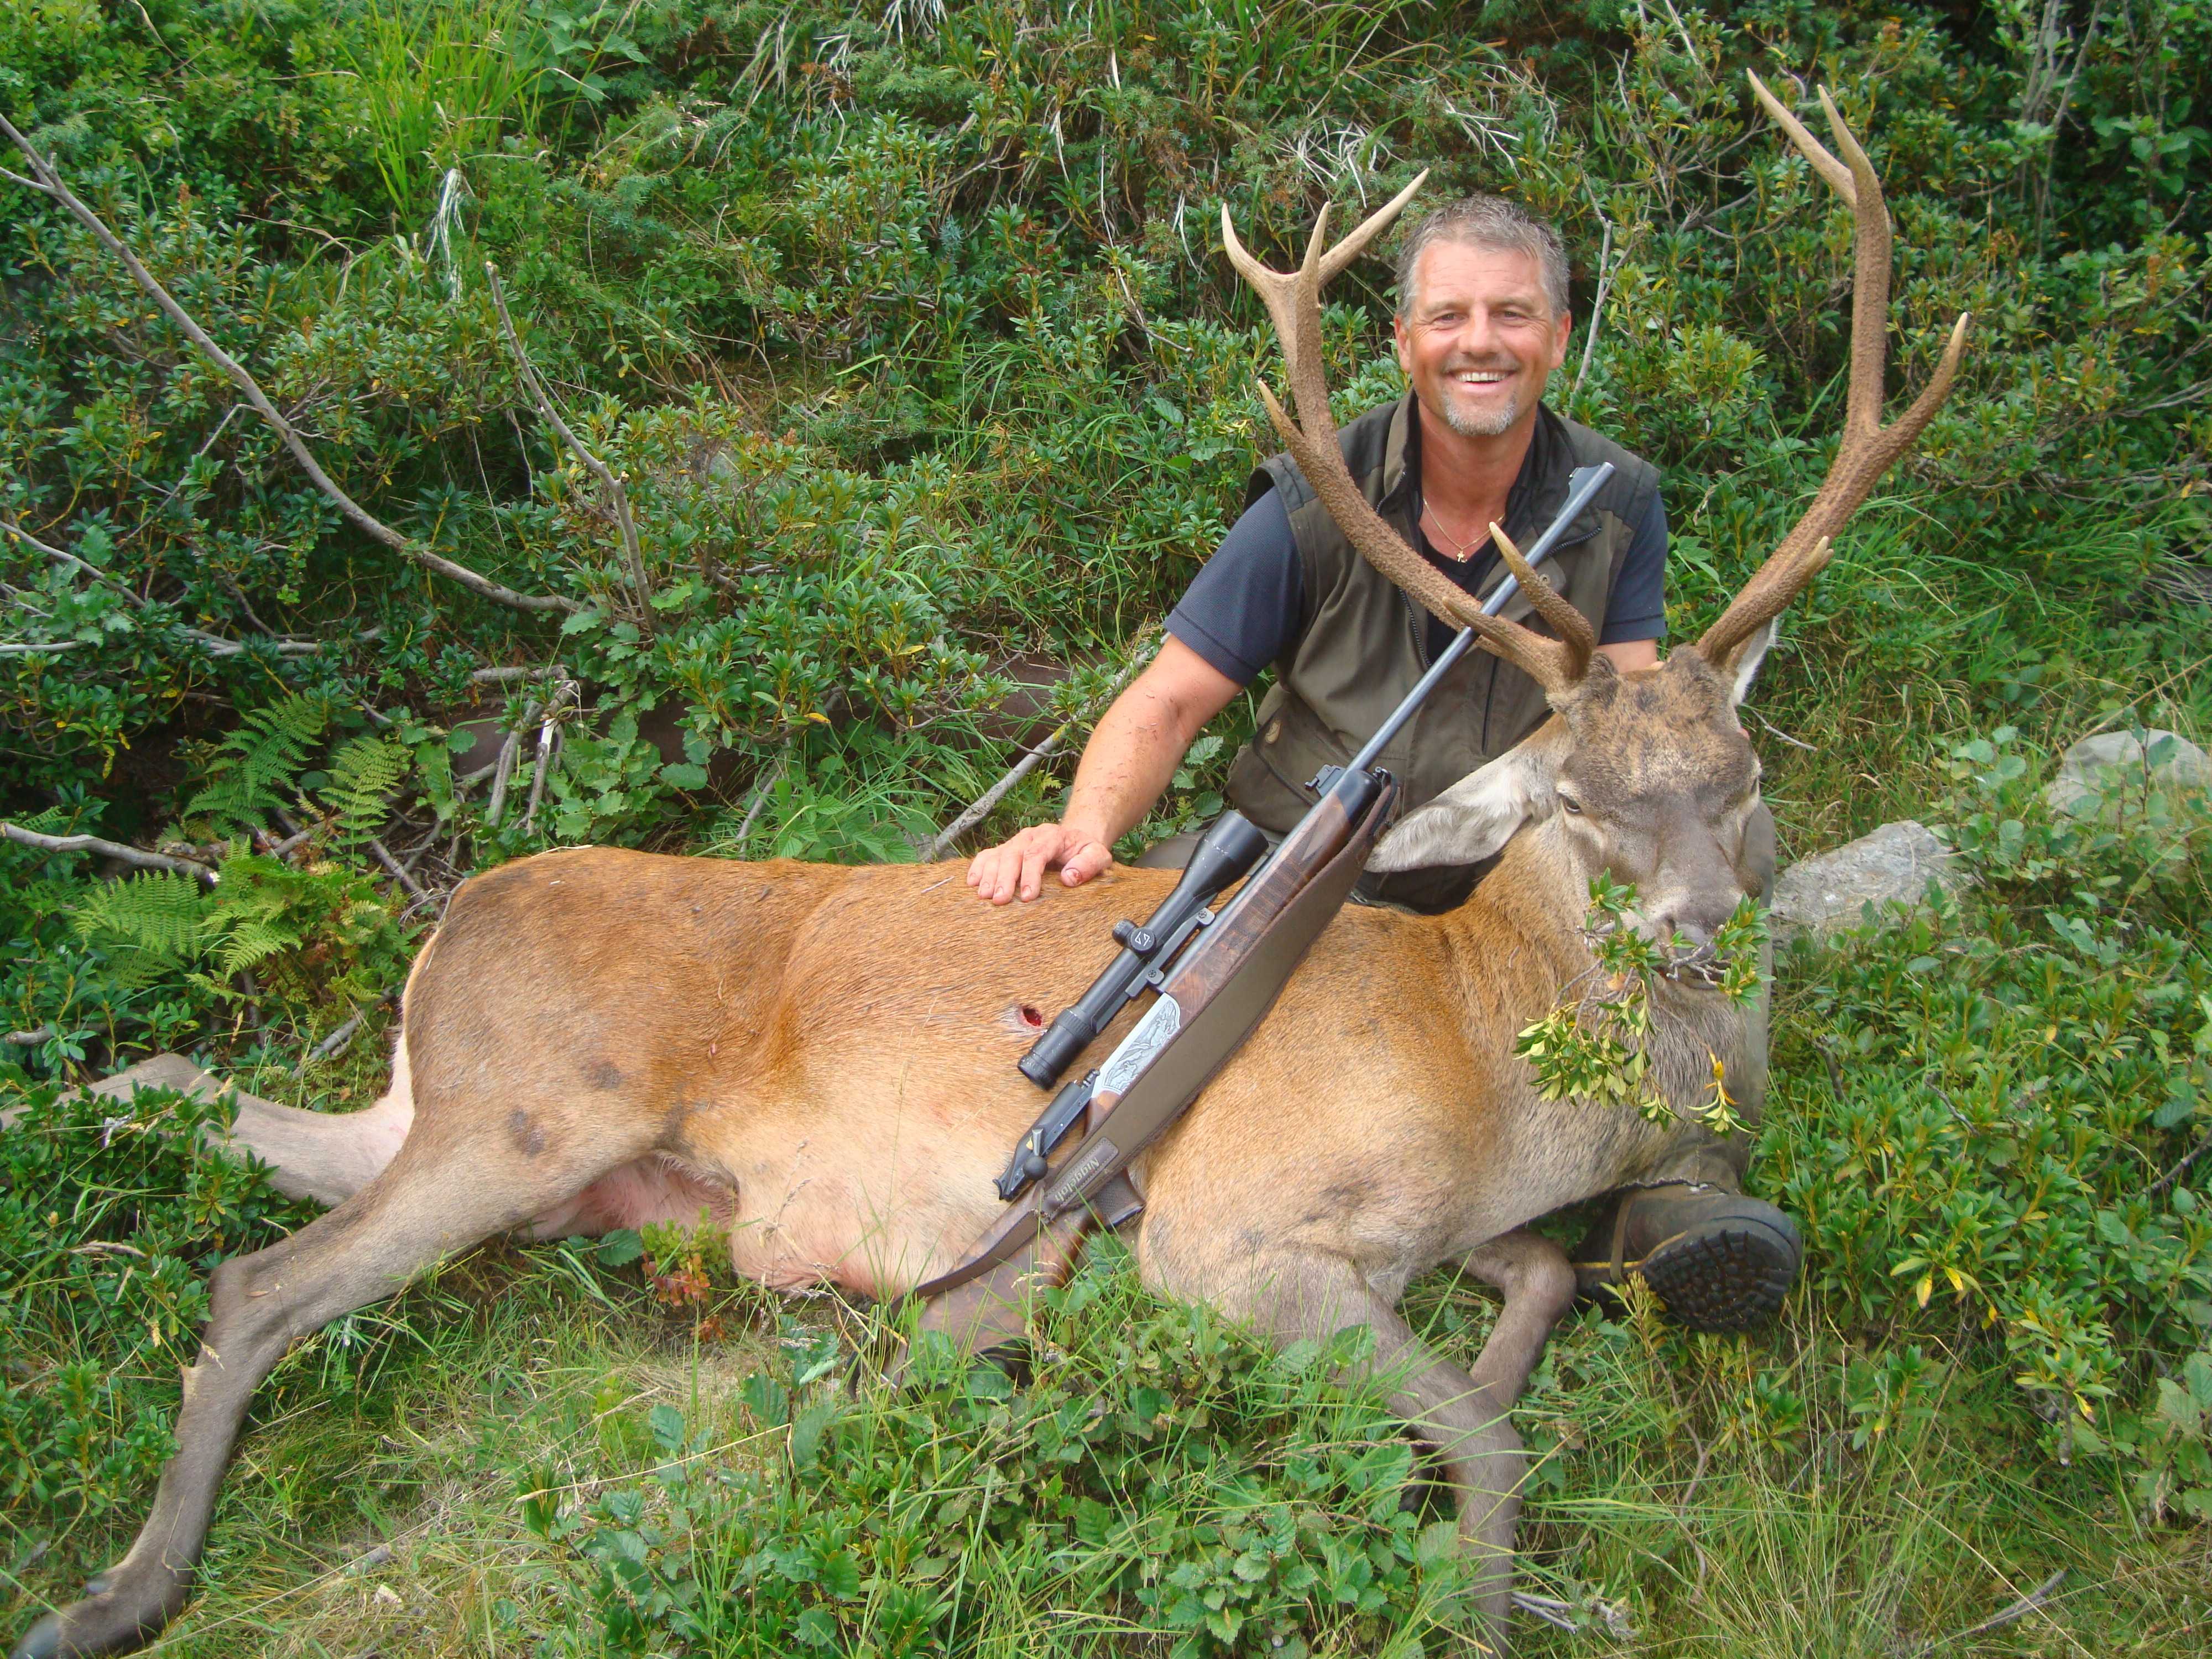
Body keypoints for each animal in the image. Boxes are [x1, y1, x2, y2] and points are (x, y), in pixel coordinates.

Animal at [13, 75, 1965, 1659]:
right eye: (1576, 794)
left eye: (1744, 774)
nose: (1699, 929)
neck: (1496, 1076)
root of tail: (446, 928)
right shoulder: (1224, 1232)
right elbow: (1489, 1433)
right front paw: (1475, 1595)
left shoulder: (1438, 1227)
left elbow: (1550, 1280)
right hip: (527, 1110)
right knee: (256, 1288)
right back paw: (116, 1593)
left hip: (466, 1123)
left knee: (215, 1112)